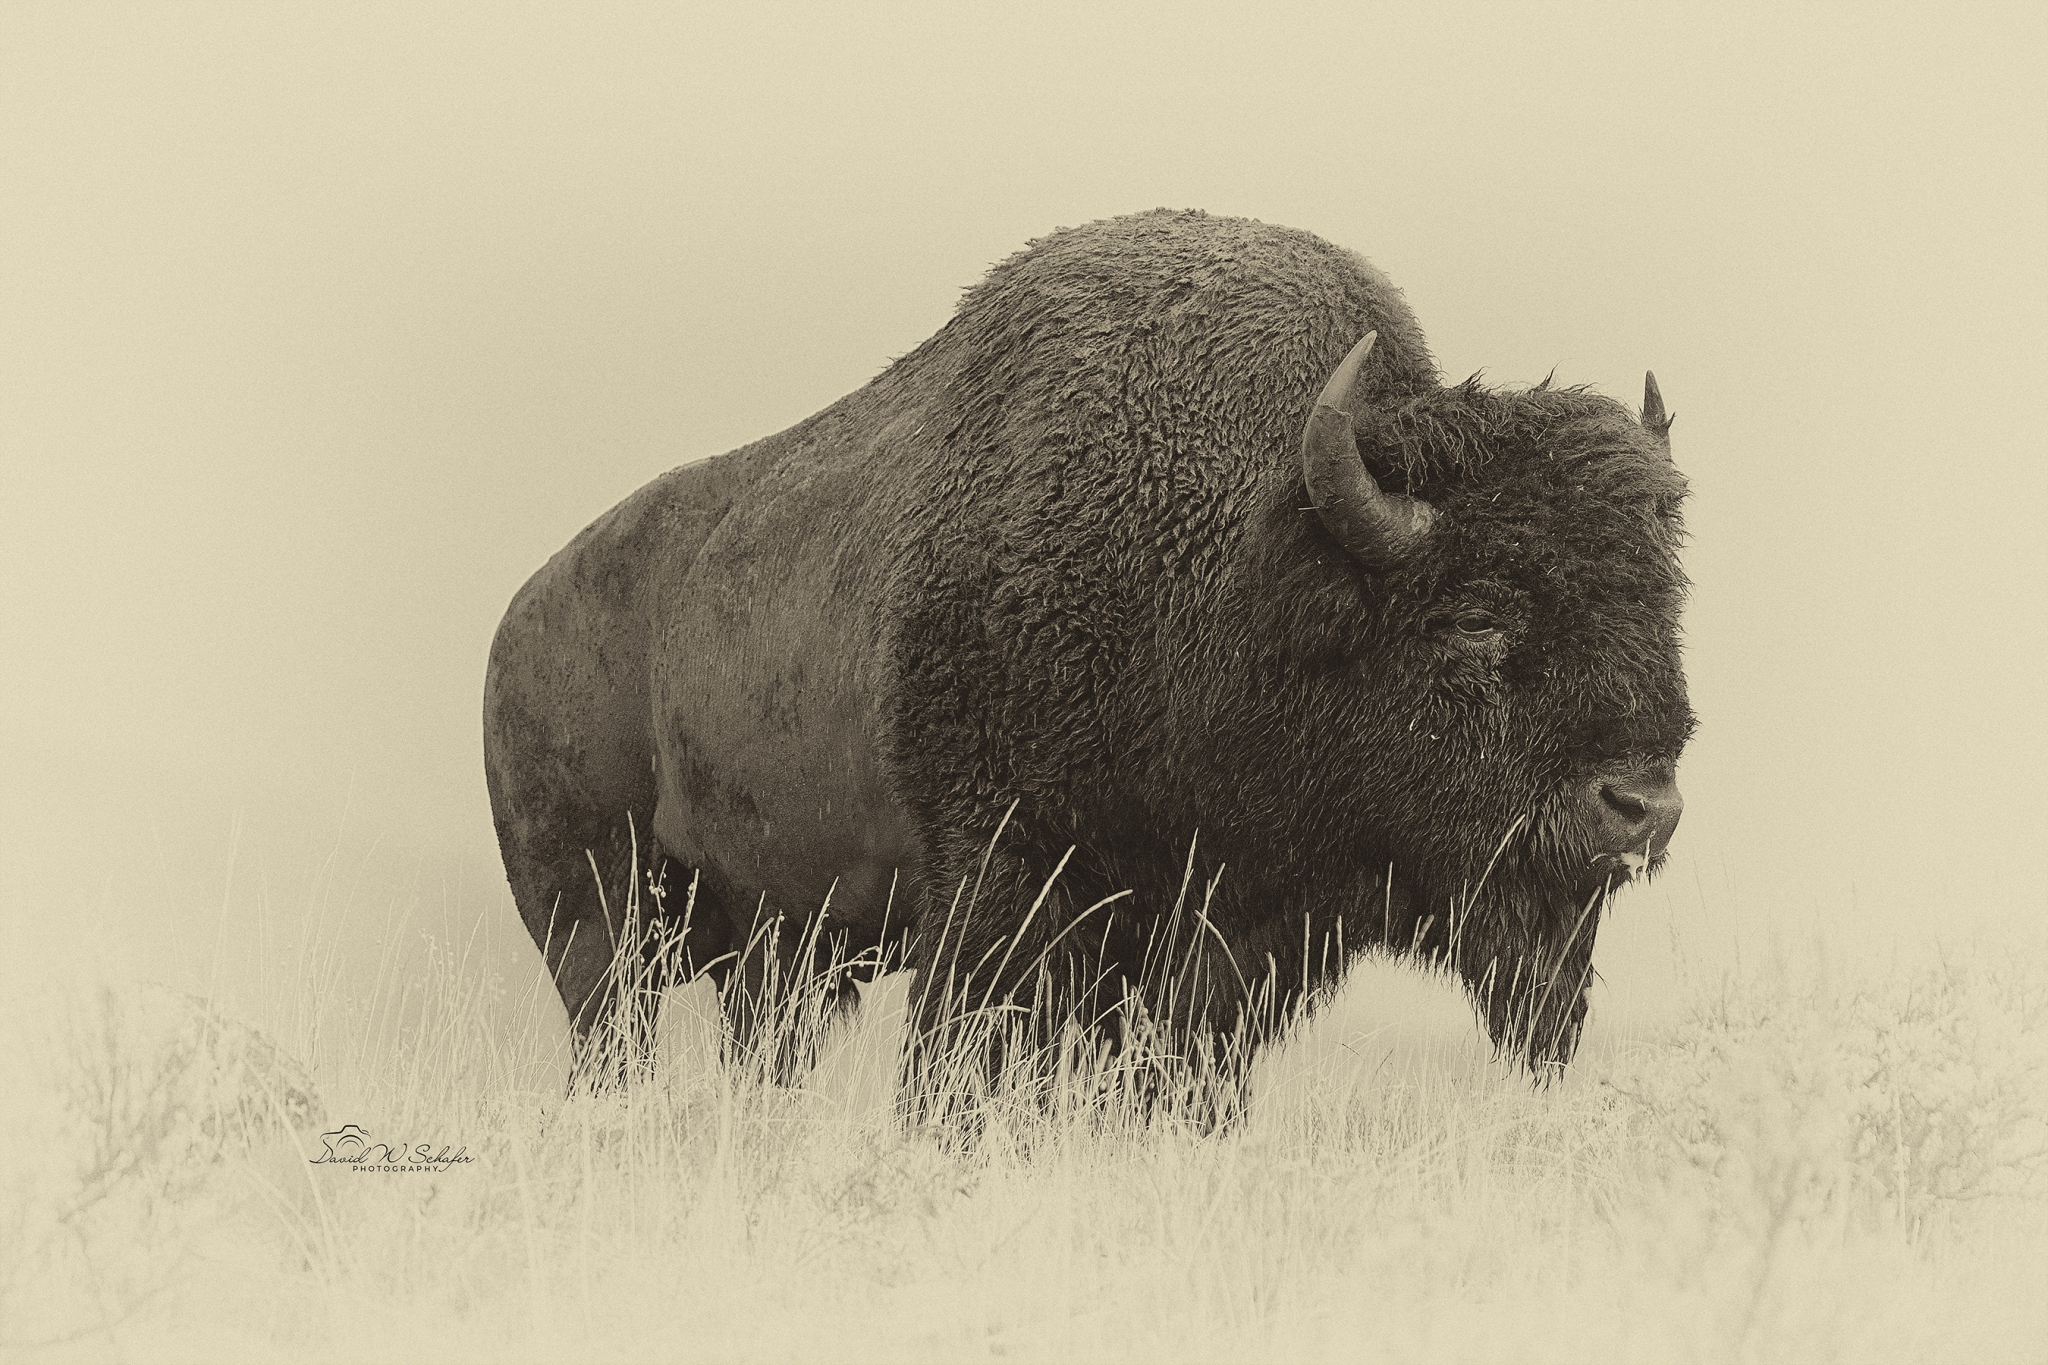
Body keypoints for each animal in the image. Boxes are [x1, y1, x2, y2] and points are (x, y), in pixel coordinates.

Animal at [483, 208, 1691, 1094]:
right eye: (1475, 617)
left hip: (775, 953)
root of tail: (513, 619)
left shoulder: (1231, 950)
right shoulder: (1002, 901)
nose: (1640, 808)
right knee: (615, 1031)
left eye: (1664, 604)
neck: (1242, 569)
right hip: (596, 931)